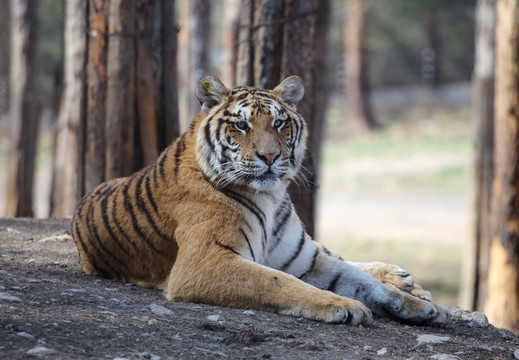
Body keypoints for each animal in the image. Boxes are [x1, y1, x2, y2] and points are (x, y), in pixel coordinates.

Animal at [71, 76, 448, 326]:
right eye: (241, 125)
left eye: (280, 123)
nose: (269, 157)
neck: (270, 196)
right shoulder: (204, 264)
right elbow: (280, 282)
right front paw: (346, 305)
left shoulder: (305, 259)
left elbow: (358, 279)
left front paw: (417, 306)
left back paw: (406, 281)